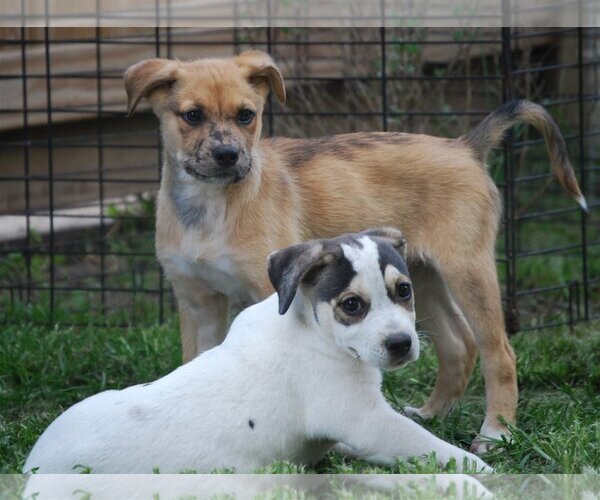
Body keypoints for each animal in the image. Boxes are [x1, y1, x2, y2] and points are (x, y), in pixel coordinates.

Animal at [24, 229, 492, 474]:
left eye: (405, 291)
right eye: (351, 305)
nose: (401, 344)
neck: (312, 331)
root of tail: (32, 469)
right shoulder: (369, 423)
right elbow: (432, 446)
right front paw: (484, 470)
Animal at [123, 49, 584, 454]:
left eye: (246, 115)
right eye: (192, 115)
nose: (228, 156)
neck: (210, 209)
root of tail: (465, 146)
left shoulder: (271, 294)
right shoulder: (196, 304)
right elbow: (195, 367)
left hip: (466, 269)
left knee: (498, 352)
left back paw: (495, 434)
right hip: (419, 276)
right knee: (458, 344)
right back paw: (431, 415)